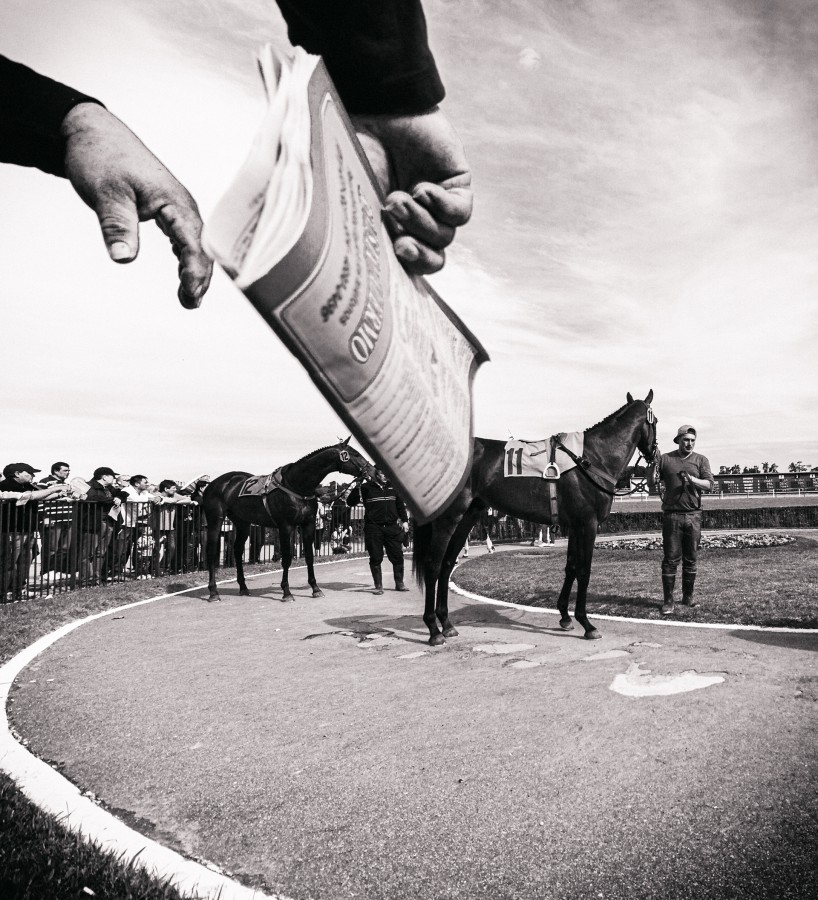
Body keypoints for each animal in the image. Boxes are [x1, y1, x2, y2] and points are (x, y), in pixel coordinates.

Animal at [202, 440, 374, 600]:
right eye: (356, 454)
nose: (374, 471)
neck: (296, 485)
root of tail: (215, 484)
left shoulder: (308, 524)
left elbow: (309, 556)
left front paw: (315, 588)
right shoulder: (286, 526)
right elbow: (286, 557)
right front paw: (286, 592)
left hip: (242, 522)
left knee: (237, 549)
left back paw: (243, 587)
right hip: (215, 519)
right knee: (210, 551)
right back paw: (213, 592)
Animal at [414, 390, 656, 644]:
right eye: (656, 422)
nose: (654, 453)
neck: (590, 459)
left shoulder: (574, 526)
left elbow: (570, 567)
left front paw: (565, 616)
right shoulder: (587, 525)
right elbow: (583, 570)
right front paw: (586, 623)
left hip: (468, 516)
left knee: (447, 563)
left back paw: (446, 623)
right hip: (449, 518)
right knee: (433, 565)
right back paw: (433, 629)